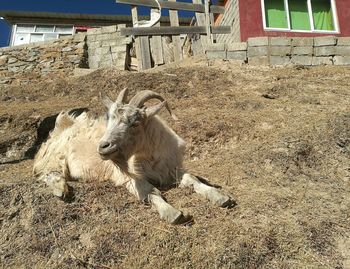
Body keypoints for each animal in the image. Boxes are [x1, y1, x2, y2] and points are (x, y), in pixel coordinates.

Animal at [34, 89, 234, 223]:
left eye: (135, 123)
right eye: (109, 119)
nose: (103, 147)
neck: (150, 159)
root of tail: (58, 131)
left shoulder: (171, 168)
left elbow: (193, 179)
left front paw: (220, 197)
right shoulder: (128, 178)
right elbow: (151, 192)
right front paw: (173, 213)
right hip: (55, 159)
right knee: (49, 174)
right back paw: (61, 190)